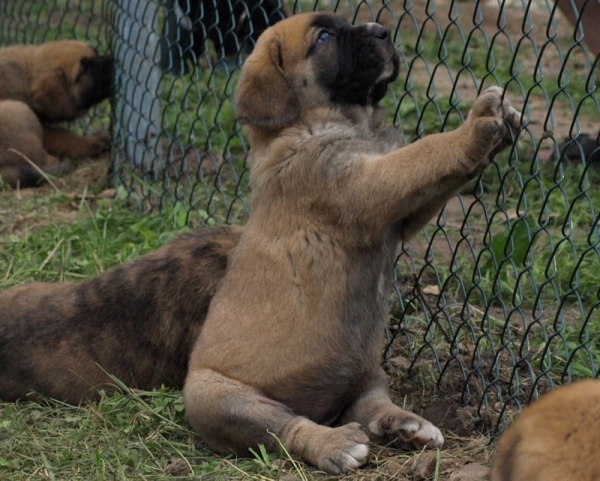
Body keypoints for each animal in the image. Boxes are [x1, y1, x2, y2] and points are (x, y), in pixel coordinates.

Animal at [0, 39, 112, 188]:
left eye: (96, 53)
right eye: (84, 69)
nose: (114, 61)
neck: (26, 77)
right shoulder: (44, 129)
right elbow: (65, 137)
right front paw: (94, 142)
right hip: (18, 110)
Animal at [182, 11, 520, 472]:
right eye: (324, 36)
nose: (383, 32)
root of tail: (321, 409)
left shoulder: (402, 214)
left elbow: (436, 173)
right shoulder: (362, 185)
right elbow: (424, 153)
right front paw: (473, 127)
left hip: (368, 367)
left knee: (368, 406)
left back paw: (405, 425)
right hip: (219, 397)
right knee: (286, 428)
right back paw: (335, 444)